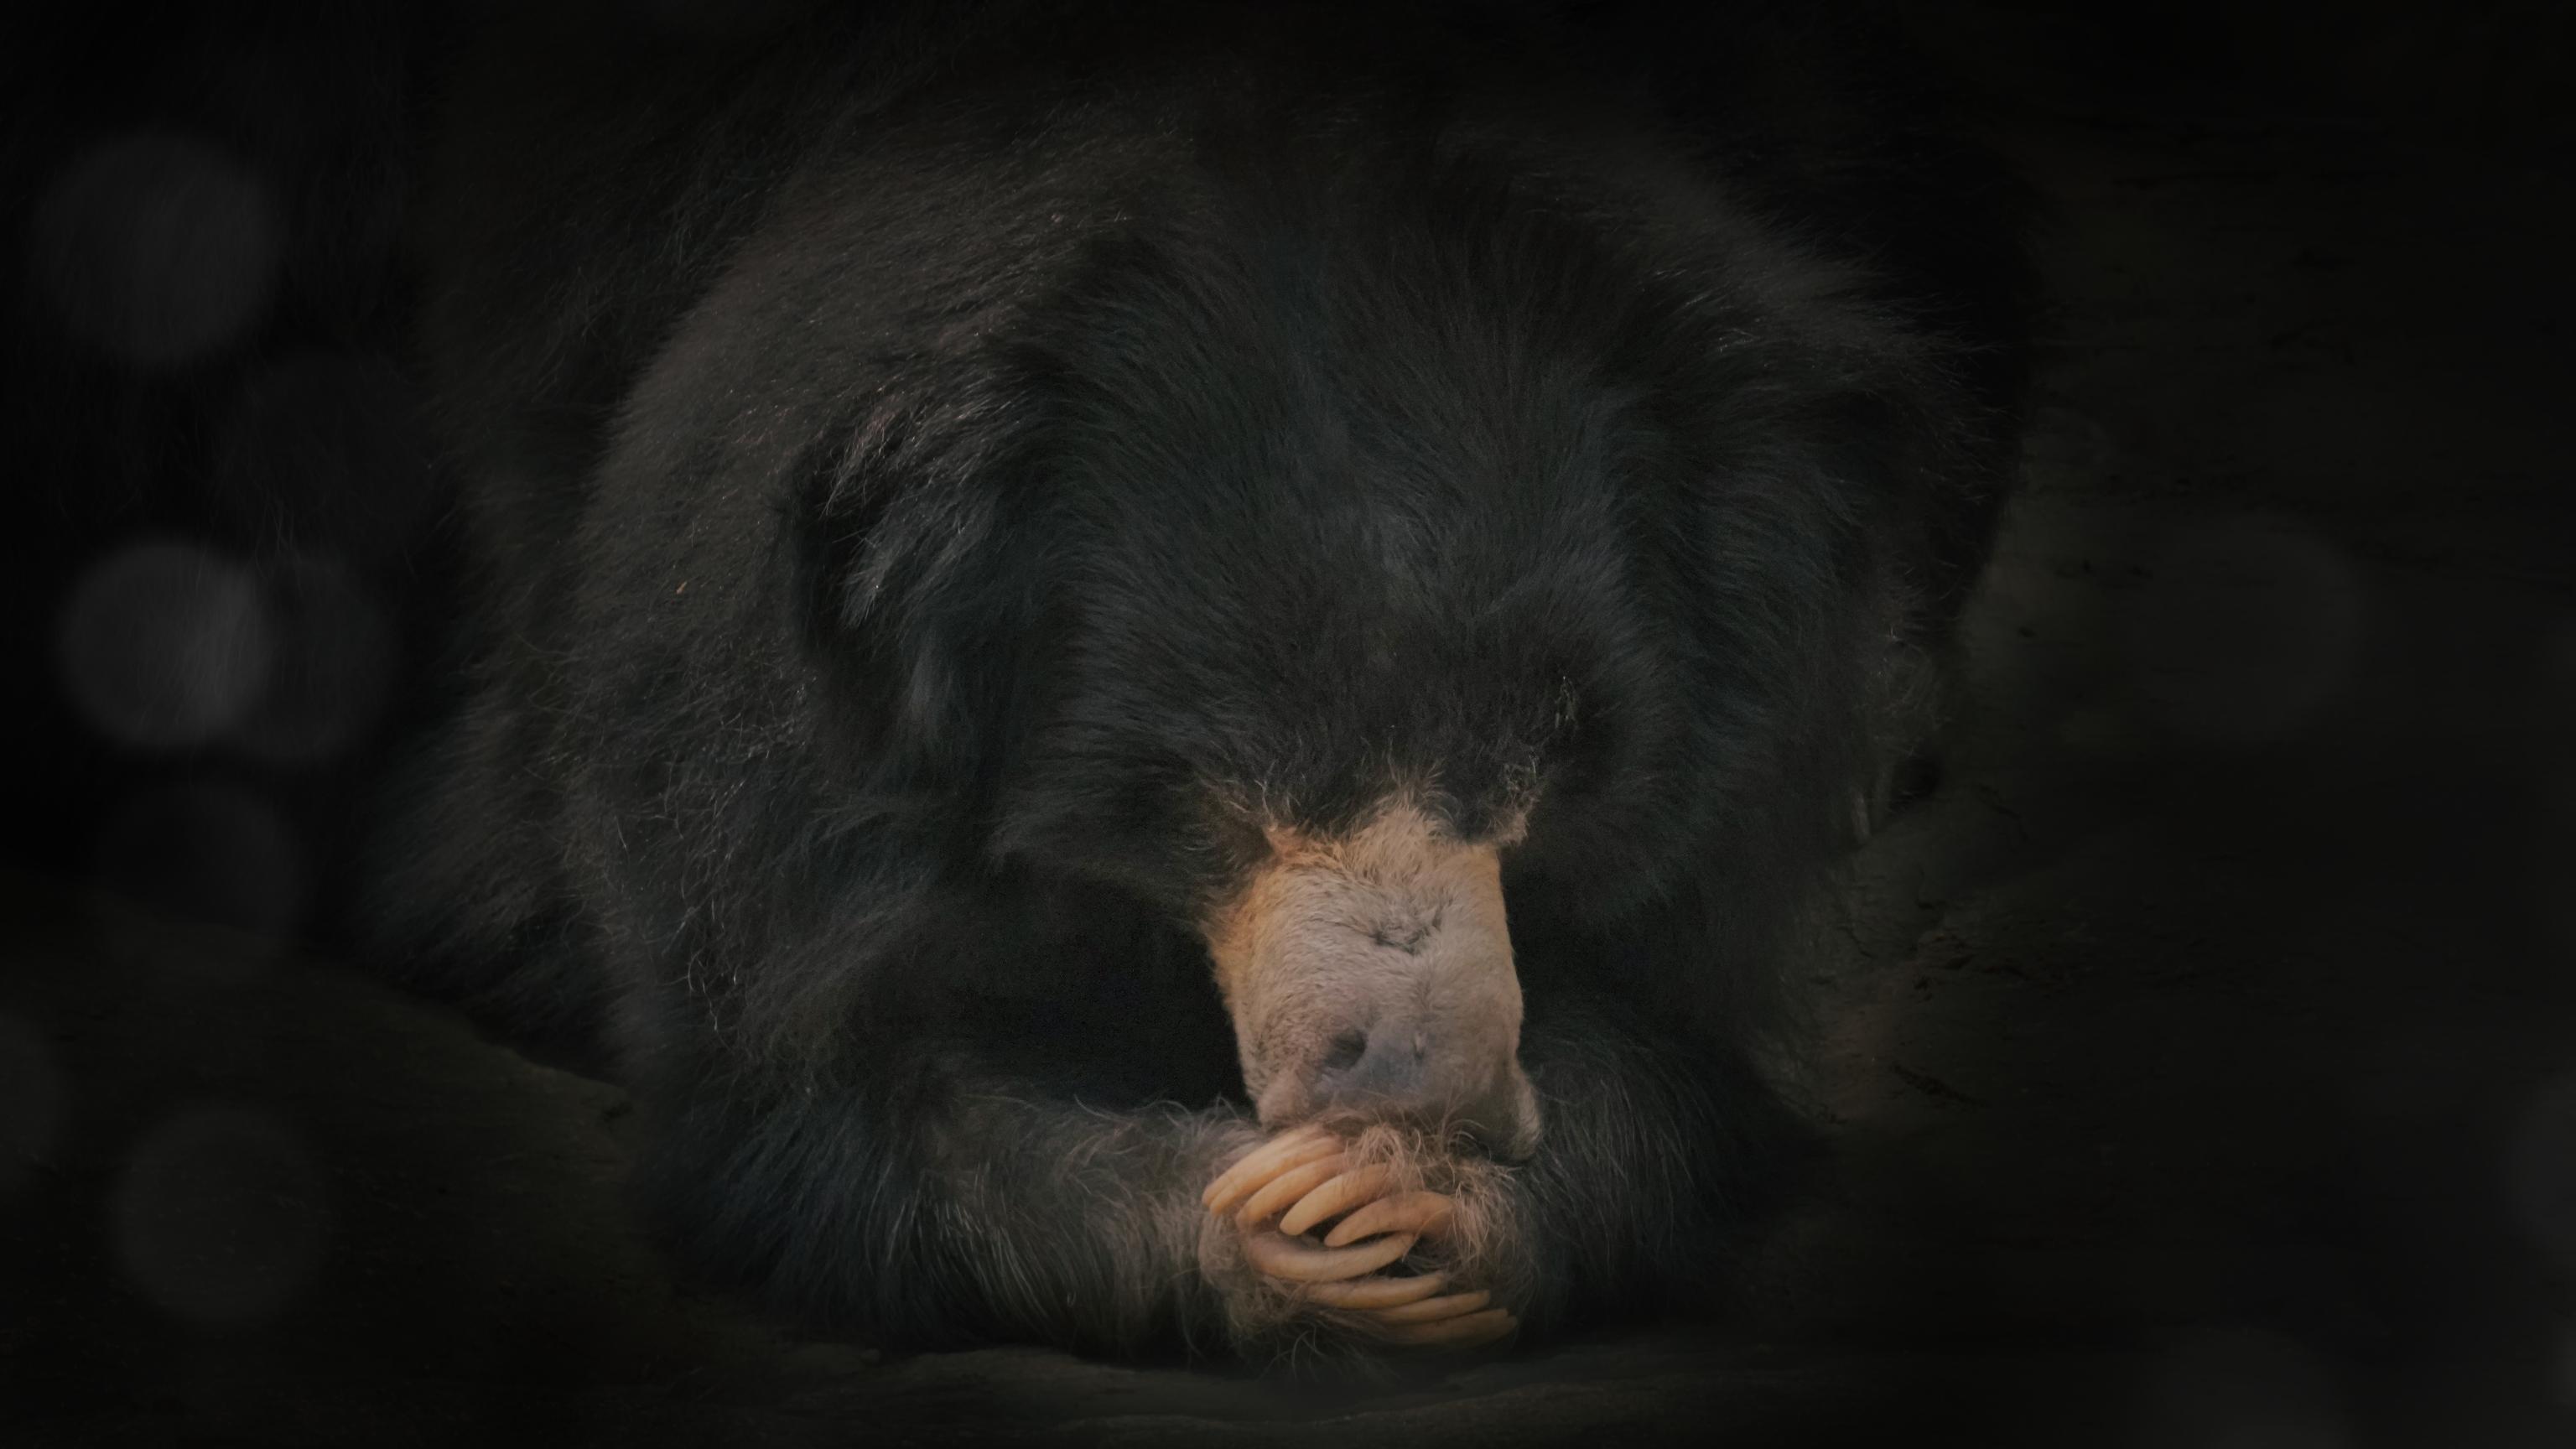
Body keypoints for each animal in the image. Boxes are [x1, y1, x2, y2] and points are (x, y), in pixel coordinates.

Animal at [370, 0, 2030, 1369]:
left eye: (1559, 756)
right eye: (1222, 776)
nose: (1417, 1084)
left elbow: (1693, 1026)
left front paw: (1418, 1197)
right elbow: (777, 1045)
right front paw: (1258, 1218)